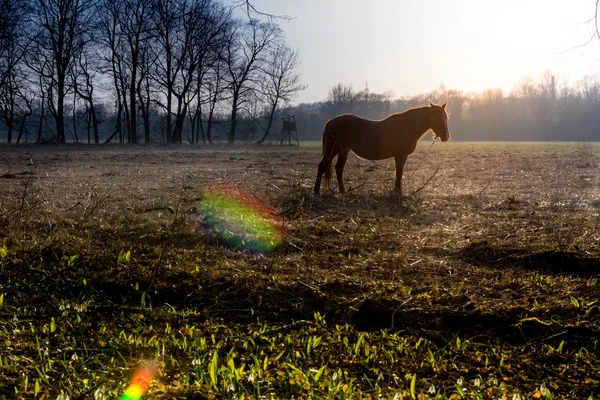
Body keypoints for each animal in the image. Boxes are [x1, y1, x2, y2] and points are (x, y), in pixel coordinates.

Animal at [314, 102, 450, 196]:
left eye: (446, 118)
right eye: (437, 118)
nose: (446, 137)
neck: (407, 126)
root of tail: (331, 121)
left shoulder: (403, 156)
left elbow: (399, 173)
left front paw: (397, 191)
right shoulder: (399, 155)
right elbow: (399, 173)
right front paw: (398, 193)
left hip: (344, 150)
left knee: (339, 169)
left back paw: (343, 192)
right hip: (333, 150)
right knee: (322, 166)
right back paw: (316, 191)